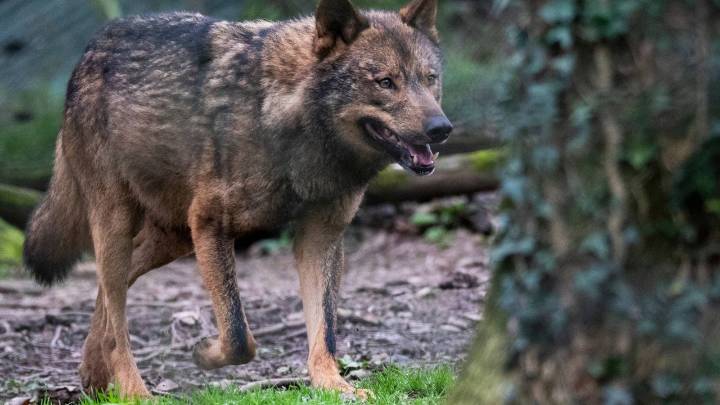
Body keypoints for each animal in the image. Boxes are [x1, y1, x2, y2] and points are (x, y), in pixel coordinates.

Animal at [23, 0, 452, 398]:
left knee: (108, 295)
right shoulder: (211, 225)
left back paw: (94, 376)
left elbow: (325, 329)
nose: (442, 128)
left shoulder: (321, 236)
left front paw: (333, 386)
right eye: (385, 82)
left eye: (430, 79)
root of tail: (92, 47)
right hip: (121, 224)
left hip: (172, 238)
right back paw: (134, 393)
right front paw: (204, 352)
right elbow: (239, 336)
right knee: (116, 316)